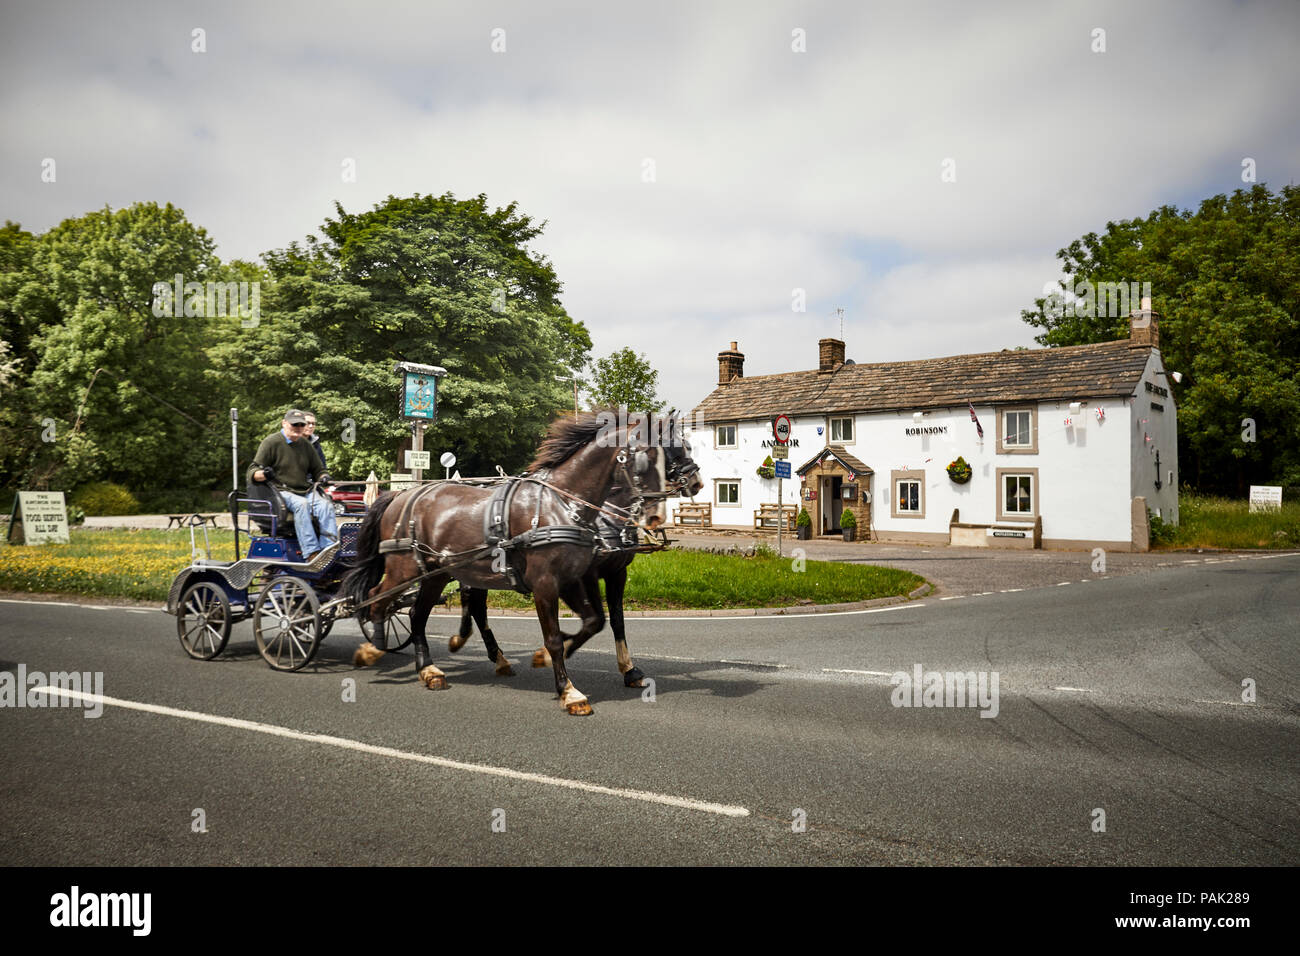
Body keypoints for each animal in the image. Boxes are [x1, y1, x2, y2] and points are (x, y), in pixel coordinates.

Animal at [343, 416, 670, 712]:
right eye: (645, 459)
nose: (656, 516)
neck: (562, 506)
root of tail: (400, 494)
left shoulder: (573, 579)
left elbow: (594, 621)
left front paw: (549, 656)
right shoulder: (546, 584)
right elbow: (554, 636)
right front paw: (568, 690)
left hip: (438, 574)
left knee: (416, 614)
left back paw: (429, 668)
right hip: (404, 569)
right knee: (376, 600)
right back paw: (373, 649)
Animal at [452, 418, 707, 686]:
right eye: (673, 446)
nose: (696, 482)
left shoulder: (617, 573)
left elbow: (616, 620)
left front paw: (628, 668)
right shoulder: (586, 575)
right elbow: (597, 619)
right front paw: (552, 652)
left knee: (474, 603)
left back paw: (489, 652)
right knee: (475, 603)